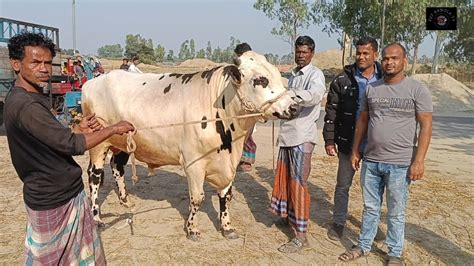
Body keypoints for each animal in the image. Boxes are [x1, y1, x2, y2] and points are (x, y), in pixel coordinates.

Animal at [80, 51, 298, 240]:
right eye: (260, 80)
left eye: (278, 75)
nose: (294, 107)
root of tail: (92, 82)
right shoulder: (194, 164)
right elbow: (197, 198)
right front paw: (192, 229)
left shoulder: (229, 164)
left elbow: (226, 195)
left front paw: (227, 227)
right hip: (98, 144)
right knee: (94, 176)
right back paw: (97, 217)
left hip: (122, 143)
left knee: (117, 167)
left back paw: (125, 200)